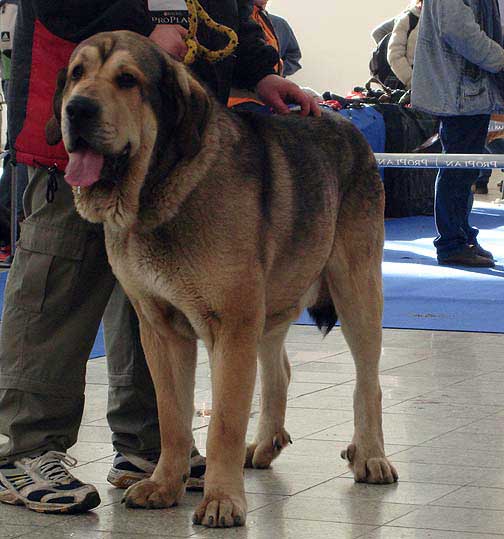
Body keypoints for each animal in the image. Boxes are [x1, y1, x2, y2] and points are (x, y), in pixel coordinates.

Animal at [49, 31, 400, 528]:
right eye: (77, 74)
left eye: (127, 80)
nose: (77, 109)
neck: (162, 190)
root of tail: (346, 125)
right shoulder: (161, 330)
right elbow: (173, 417)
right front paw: (164, 484)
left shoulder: (230, 326)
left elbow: (223, 423)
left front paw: (222, 500)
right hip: (272, 299)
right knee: (279, 369)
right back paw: (266, 443)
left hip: (356, 290)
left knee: (368, 381)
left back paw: (370, 455)